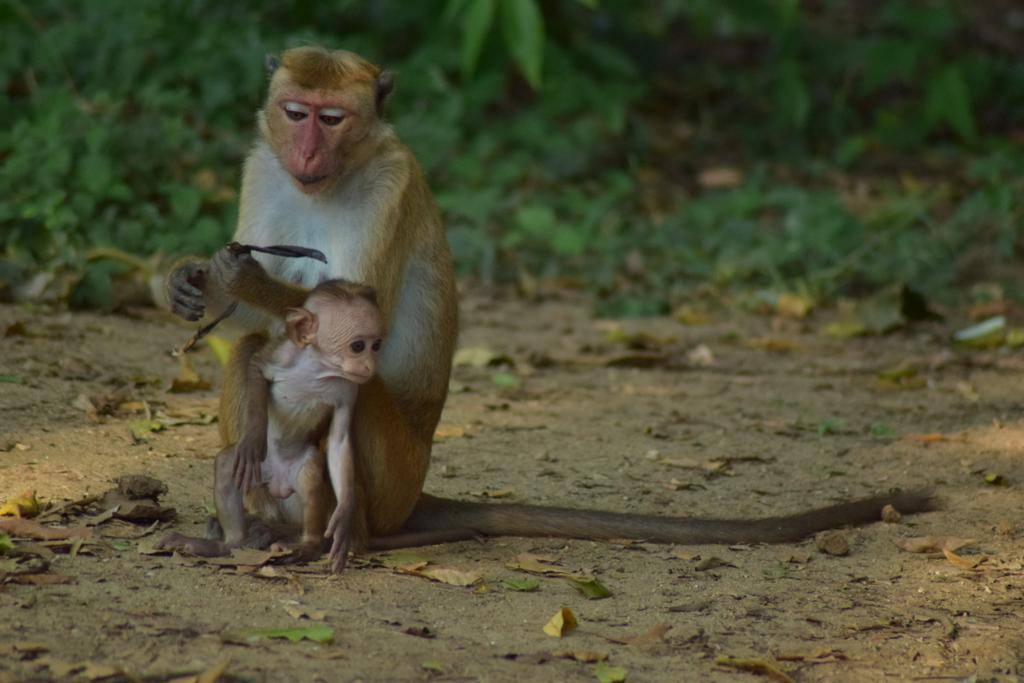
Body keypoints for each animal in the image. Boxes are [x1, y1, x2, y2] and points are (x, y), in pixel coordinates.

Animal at [161, 46, 932, 565]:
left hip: (390, 478)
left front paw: (236, 279)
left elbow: (353, 308)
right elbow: (257, 329)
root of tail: (415, 492)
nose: (307, 150)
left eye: (332, 118)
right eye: (294, 114)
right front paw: (189, 281)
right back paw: (248, 522)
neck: (331, 180)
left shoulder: (389, 183)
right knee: (257, 354)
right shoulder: (263, 165)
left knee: (350, 397)